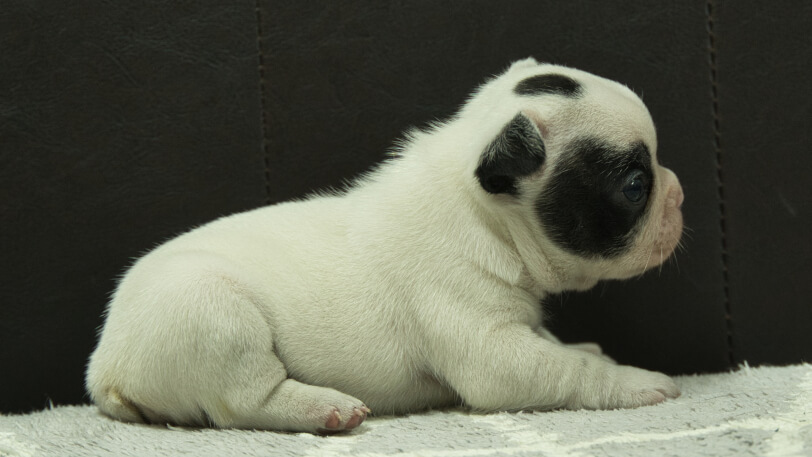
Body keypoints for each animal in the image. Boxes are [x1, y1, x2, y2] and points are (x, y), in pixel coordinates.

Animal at [87, 58, 684, 432]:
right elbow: (565, 372)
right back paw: (324, 409)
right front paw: (636, 381)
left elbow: (556, 346)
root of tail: (105, 371)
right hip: (212, 313)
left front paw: (580, 344)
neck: (482, 213)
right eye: (635, 187)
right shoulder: (489, 346)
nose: (679, 193)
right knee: (245, 401)